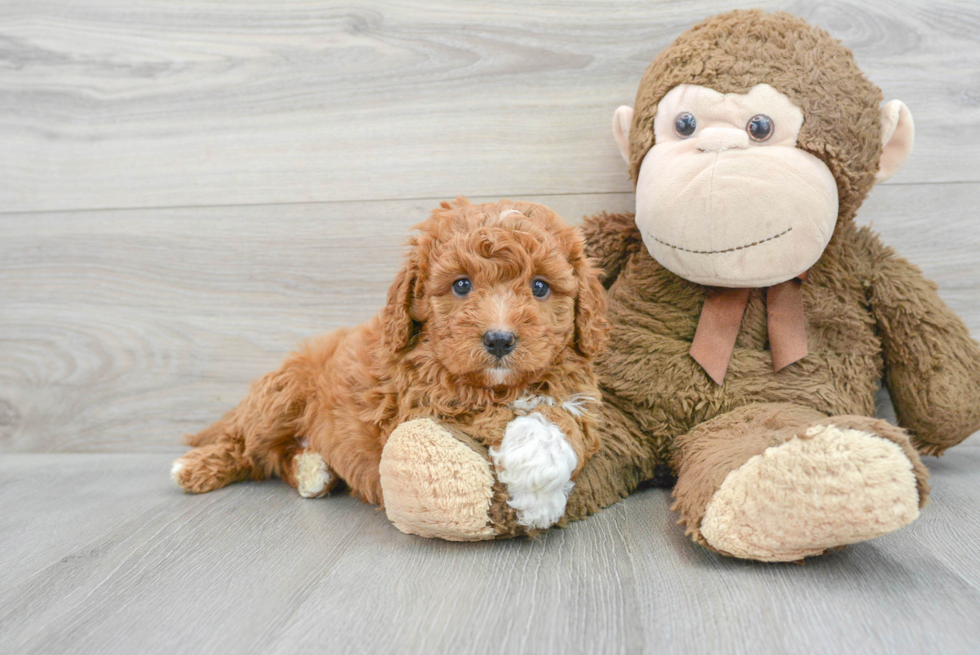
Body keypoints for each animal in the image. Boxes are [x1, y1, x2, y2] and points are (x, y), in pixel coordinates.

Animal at [172, 197, 608, 532]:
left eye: (540, 287)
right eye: (462, 285)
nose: (499, 339)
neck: (496, 385)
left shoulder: (576, 386)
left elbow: (561, 416)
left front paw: (537, 488)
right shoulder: (428, 402)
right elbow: (496, 416)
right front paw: (535, 496)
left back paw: (314, 470)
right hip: (282, 396)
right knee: (247, 446)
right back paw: (194, 468)